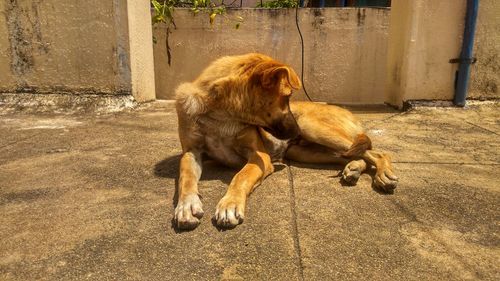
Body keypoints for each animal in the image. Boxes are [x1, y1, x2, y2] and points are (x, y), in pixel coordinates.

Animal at [173, 53, 398, 230]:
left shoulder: (259, 156)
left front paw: (229, 205)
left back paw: (383, 175)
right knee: (355, 155)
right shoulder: (191, 152)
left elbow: (241, 176)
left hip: (313, 128)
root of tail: (350, 113)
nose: (295, 132)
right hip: (306, 152)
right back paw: (353, 168)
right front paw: (186, 206)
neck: (220, 115)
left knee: (378, 152)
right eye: (287, 97)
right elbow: (186, 177)